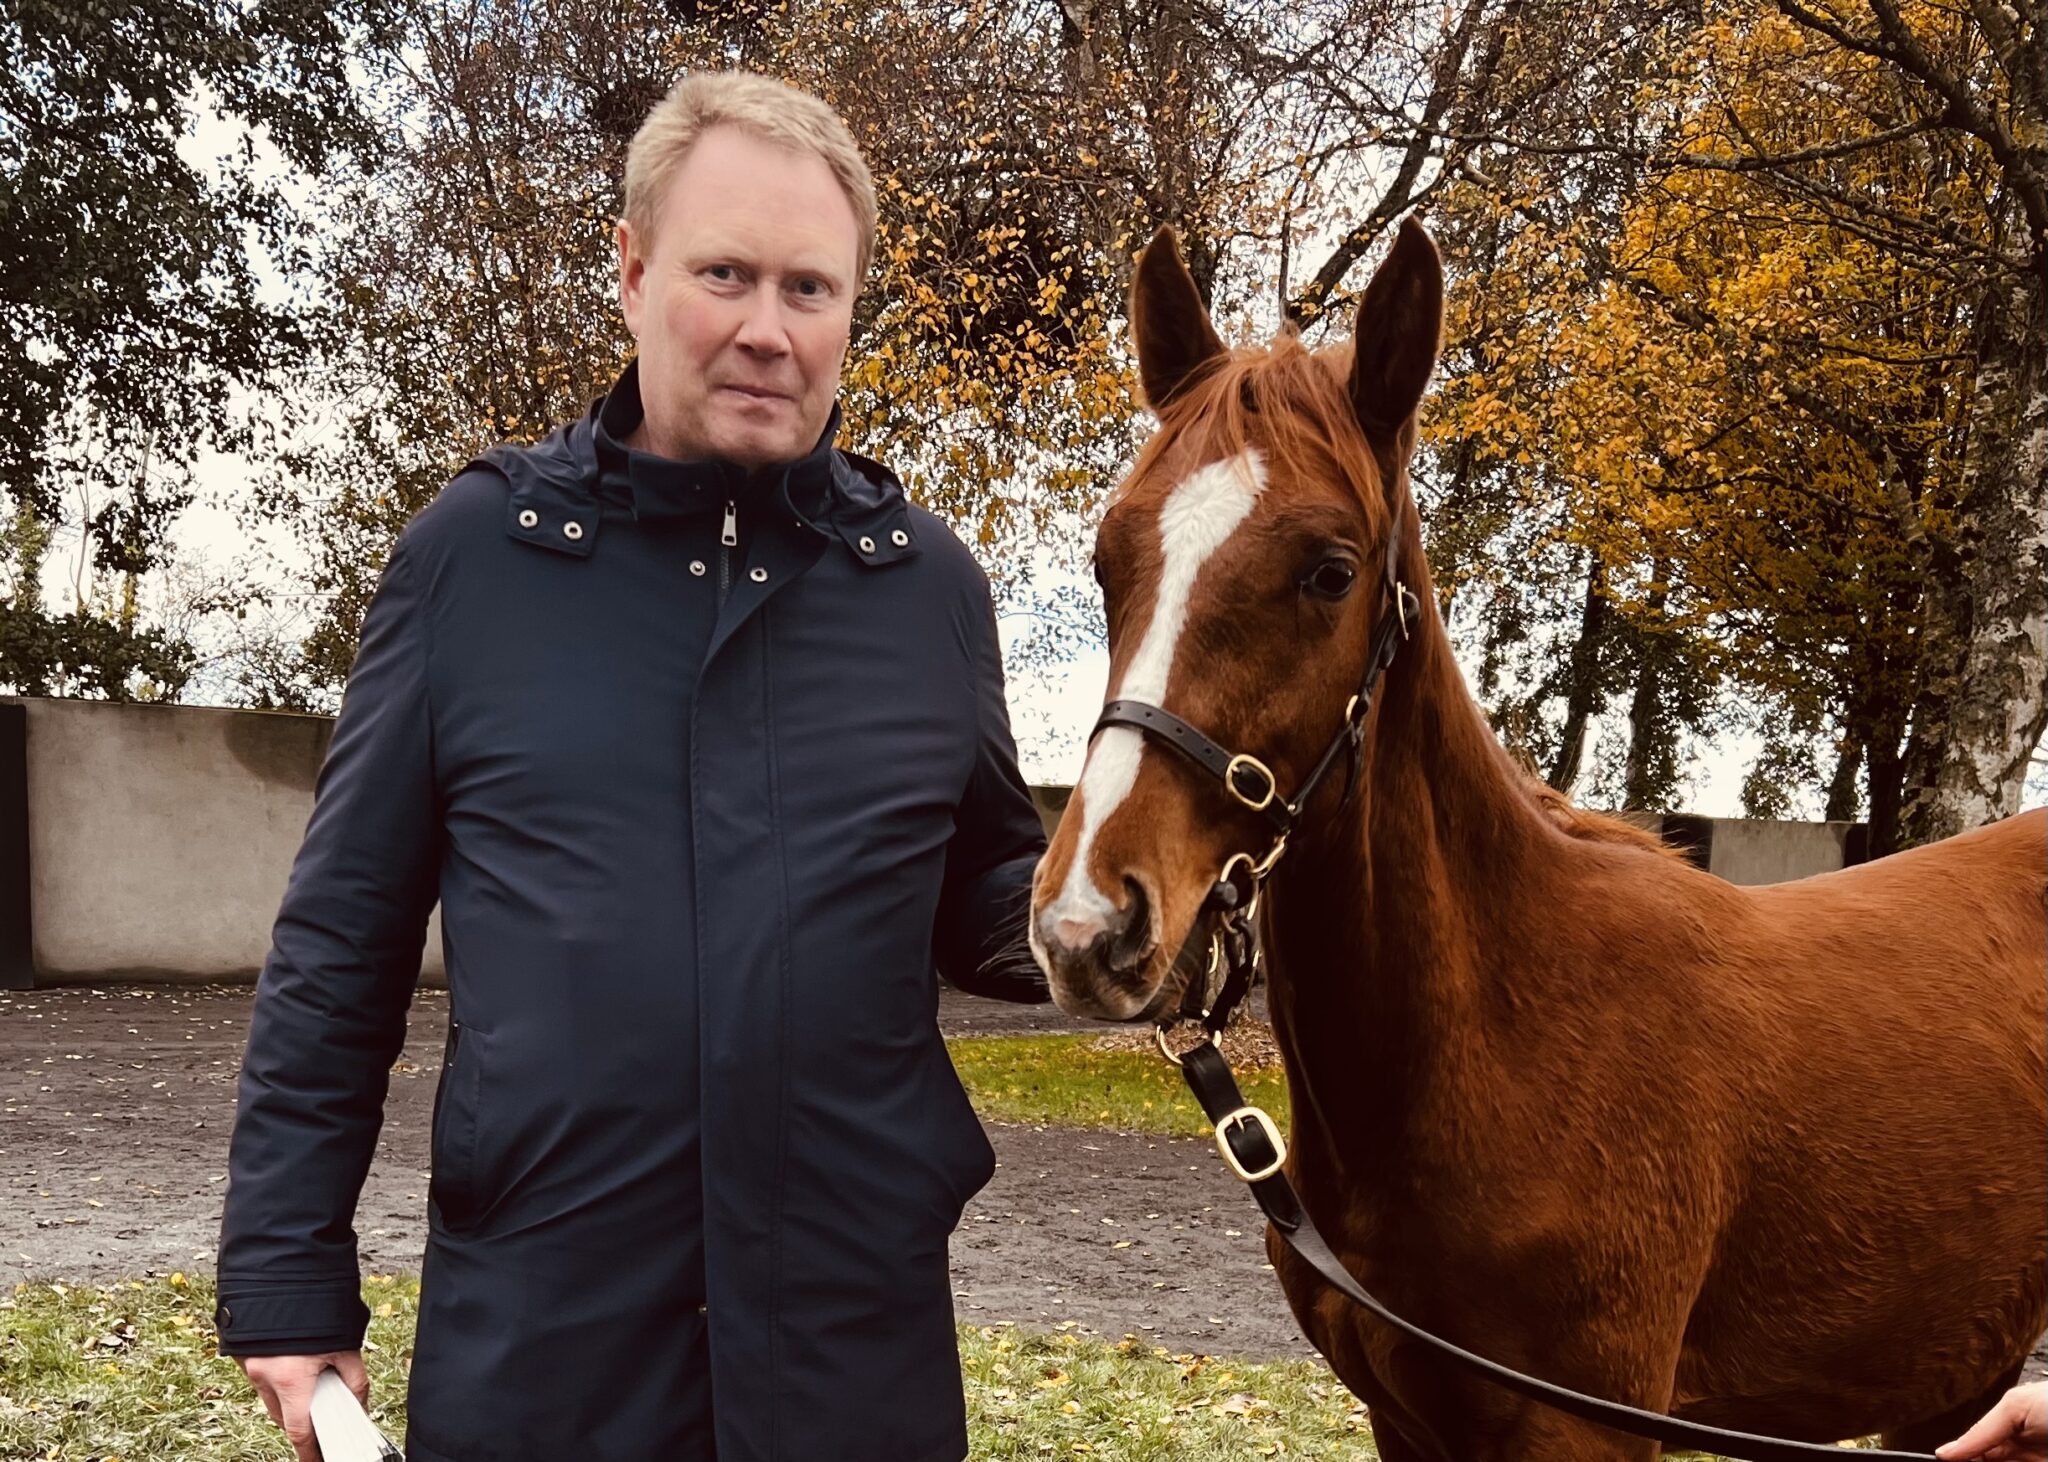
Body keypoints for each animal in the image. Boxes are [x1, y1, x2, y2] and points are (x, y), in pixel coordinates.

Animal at [1032, 219, 2039, 1457]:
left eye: (1329, 571)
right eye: (1106, 558)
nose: (1086, 926)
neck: (1500, 1029)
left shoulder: (1582, 1425)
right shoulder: (1400, 1421)